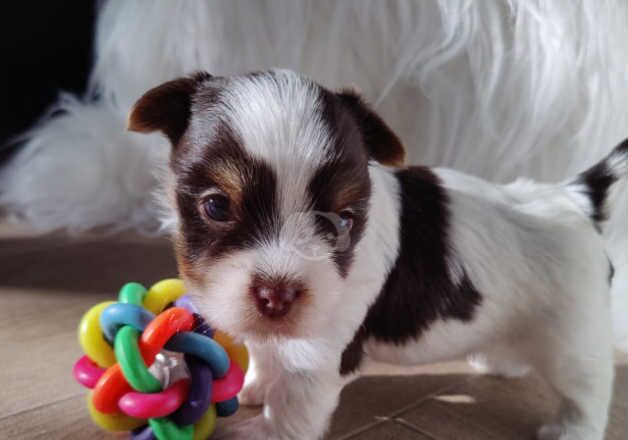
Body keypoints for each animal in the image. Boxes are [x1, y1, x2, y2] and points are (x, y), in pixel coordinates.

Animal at [129, 70, 624, 438]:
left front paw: (268, 429)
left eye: (343, 219)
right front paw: (256, 387)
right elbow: (268, 352)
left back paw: (572, 429)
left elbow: (294, 402)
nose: (277, 296)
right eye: (216, 206)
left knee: (589, 388)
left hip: (572, 337)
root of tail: (574, 198)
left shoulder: (318, 352)